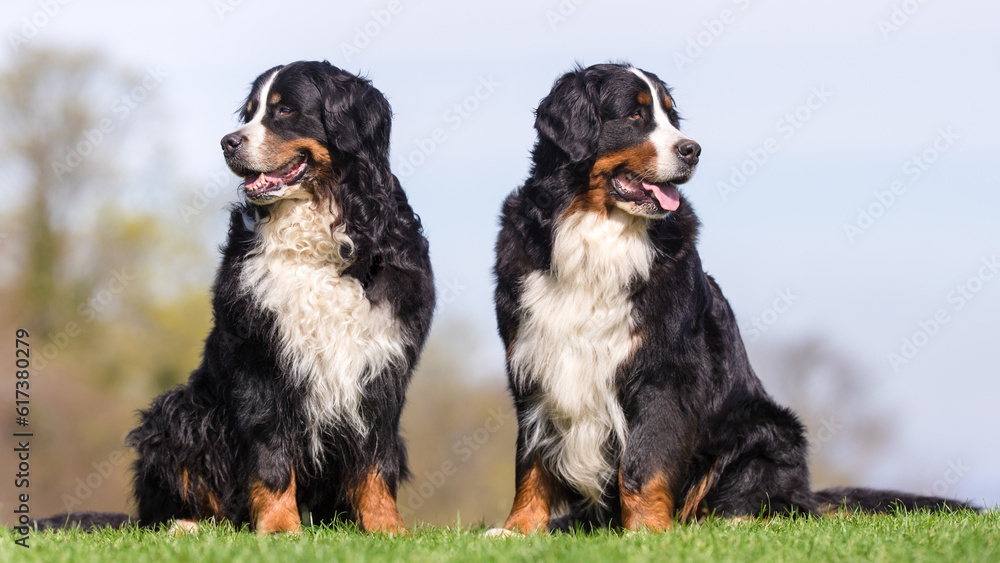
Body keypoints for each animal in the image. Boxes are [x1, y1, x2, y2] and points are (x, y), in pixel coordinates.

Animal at [121, 59, 434, 536]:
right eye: (248, 113)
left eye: (285, 110)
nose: (228, 142)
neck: (316, 237)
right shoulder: (260, 359)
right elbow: (271, 454)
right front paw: (280, 528)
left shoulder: (381, 363)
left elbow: (375, 459)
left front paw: (386, 528)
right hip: (180, 411)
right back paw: (189, 525)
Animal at [488, 64, 972, 536]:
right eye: (634, 115)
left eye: (672, 116)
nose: (692, 150)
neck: (597, 235)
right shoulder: (533, 365)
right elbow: (531, 463)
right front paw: (517, 529)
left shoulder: (663, 372)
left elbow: (644, 463)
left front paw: (646, 533)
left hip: (766, 428)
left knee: (773, 504)